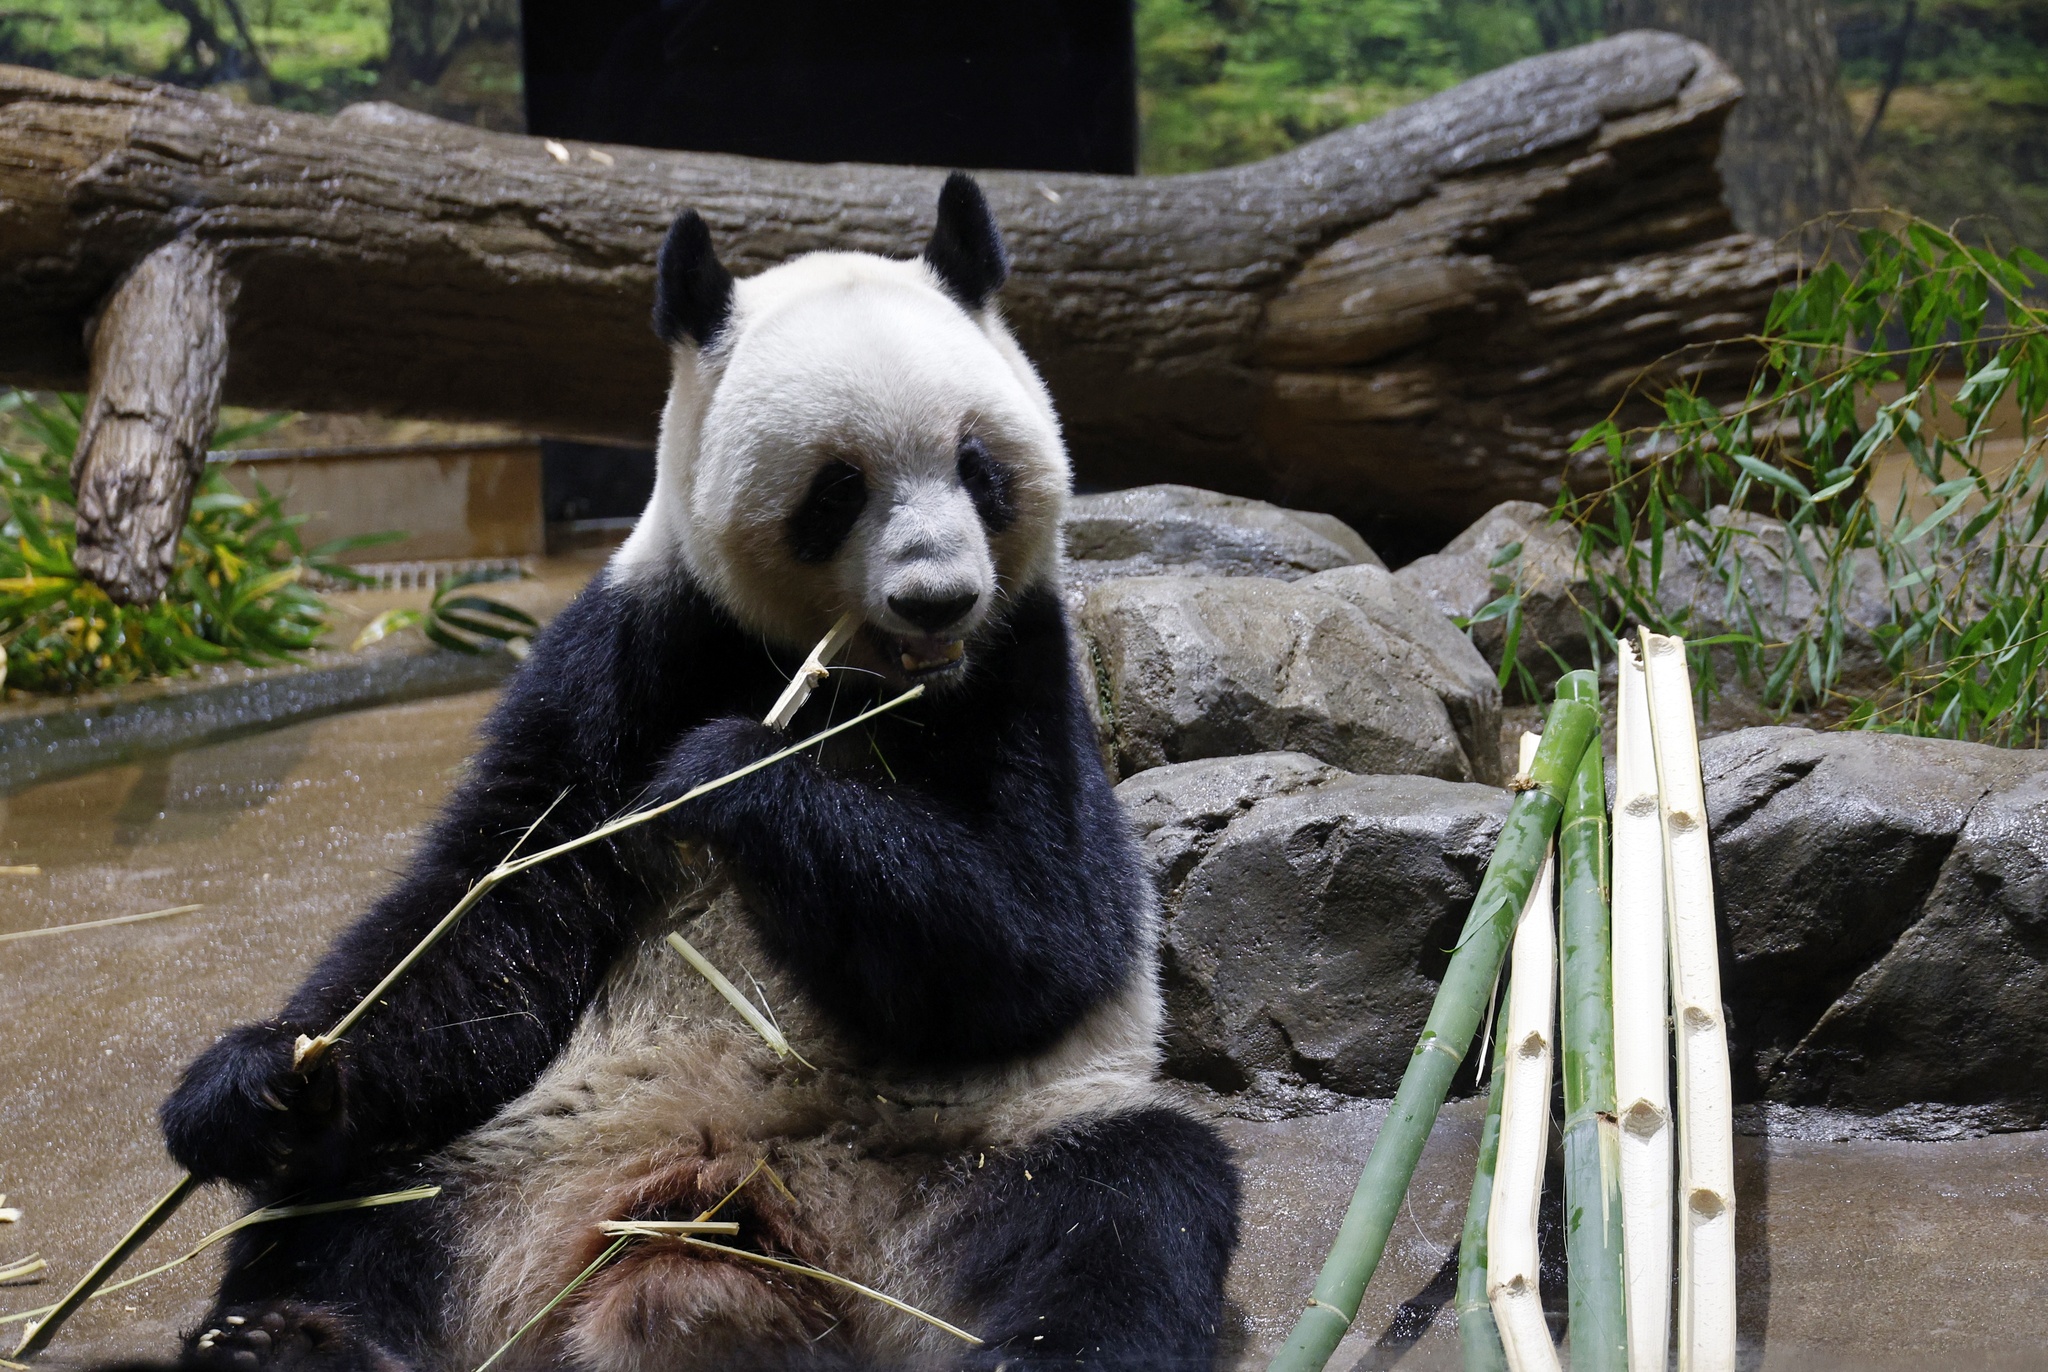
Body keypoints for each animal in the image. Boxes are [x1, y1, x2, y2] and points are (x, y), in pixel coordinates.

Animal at [146, 173, 1241, 1372]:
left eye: (977, 466)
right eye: (837, 488)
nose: (936, 598)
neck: (844, 679)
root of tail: (710, 1222)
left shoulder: (1018, 668)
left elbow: (1045, 938)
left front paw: (725, 773)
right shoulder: (635, 647)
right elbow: (490, 913)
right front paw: (258, 1084)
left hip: (967, 1164)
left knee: (1122, 1205)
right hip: (507, 1159)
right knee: (357, 1206)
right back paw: (283, 1336)